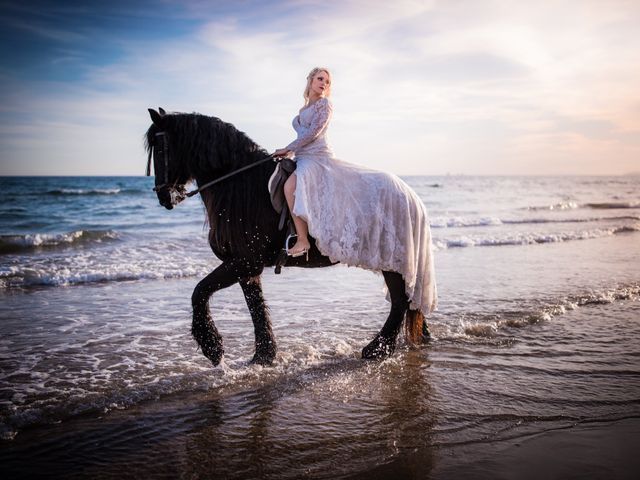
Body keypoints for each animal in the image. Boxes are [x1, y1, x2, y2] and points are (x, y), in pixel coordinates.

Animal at [144, 107, 424, 366]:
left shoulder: (244, 261)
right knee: (407, 302)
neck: (241, 186)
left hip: (392, 261)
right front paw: (263, 356)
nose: (164, 197)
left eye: (159, 149)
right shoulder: (247, 267)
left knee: (399, 302)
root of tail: (410, 195)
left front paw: (212, 347)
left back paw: (378, 349)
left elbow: (200, 291)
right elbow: (256, 307)